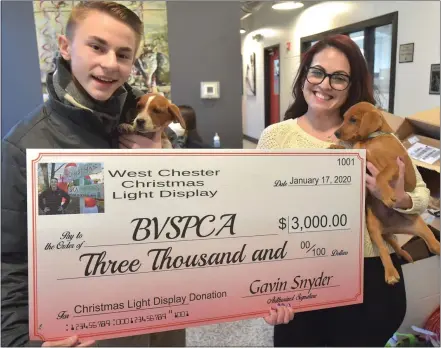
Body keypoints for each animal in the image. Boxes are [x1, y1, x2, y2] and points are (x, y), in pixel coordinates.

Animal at [332, 101, 438, 286]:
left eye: (353, 119)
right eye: (344, 118)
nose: (335, 133)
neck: (372, 138)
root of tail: (391, 227)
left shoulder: (394, 164)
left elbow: (381, 175)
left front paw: (388, 195)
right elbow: (350, 150)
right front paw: (334, 146)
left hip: (422, 229)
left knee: (431, 245)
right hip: (373, 227)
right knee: (385, 250)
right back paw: (391, 273)